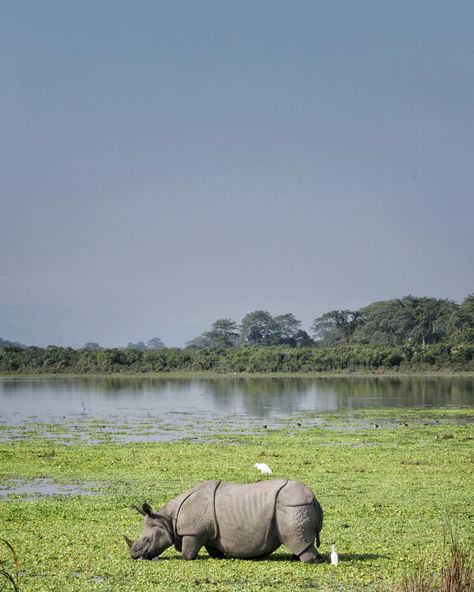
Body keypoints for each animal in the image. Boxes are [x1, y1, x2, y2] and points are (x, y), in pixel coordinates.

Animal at [124, 476, 324, 564]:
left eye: (147, 539)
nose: (134, 556)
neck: (167, 520)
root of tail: (314, 498)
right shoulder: (208, 532)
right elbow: (214, 550)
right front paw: (219, 556)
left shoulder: (192, 533)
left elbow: (187, 555)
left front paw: (187, 558)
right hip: (296, 507)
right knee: (299, 540)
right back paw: (295, 558)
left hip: (293, 507)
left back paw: (310, 562)